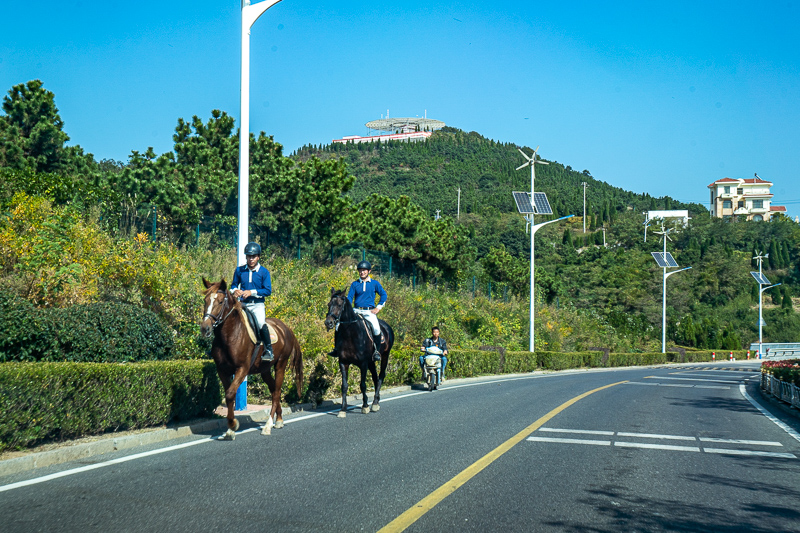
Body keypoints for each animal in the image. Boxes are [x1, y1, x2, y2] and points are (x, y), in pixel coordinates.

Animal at [200, 276, 304, 438]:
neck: (229, 336)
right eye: (205, 300)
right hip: (265, 370)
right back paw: (279, 419)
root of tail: (286, 328)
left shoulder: (242, 369)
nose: (205, 328)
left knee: (276, 392)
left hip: (281, 365)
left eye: (220, 301)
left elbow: (230, 394)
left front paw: (232, 424)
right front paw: (230, 428)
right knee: (274, 389)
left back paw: (268, 425)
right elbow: (229, 396)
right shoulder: (222, 371)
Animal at [324, 286, 394, 416]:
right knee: (375, 378)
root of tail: (386, 326)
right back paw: (376, 401)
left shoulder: (363, 364)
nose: (328, 322)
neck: (350, 334)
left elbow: (362, 385)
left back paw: (374, 403)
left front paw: (365, 406)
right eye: (329, 304)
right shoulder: (343, 362)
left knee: (381, 376)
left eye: (340, 305)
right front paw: (343, 409)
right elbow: (344, 386)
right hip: (371, 362)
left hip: (385, 356)